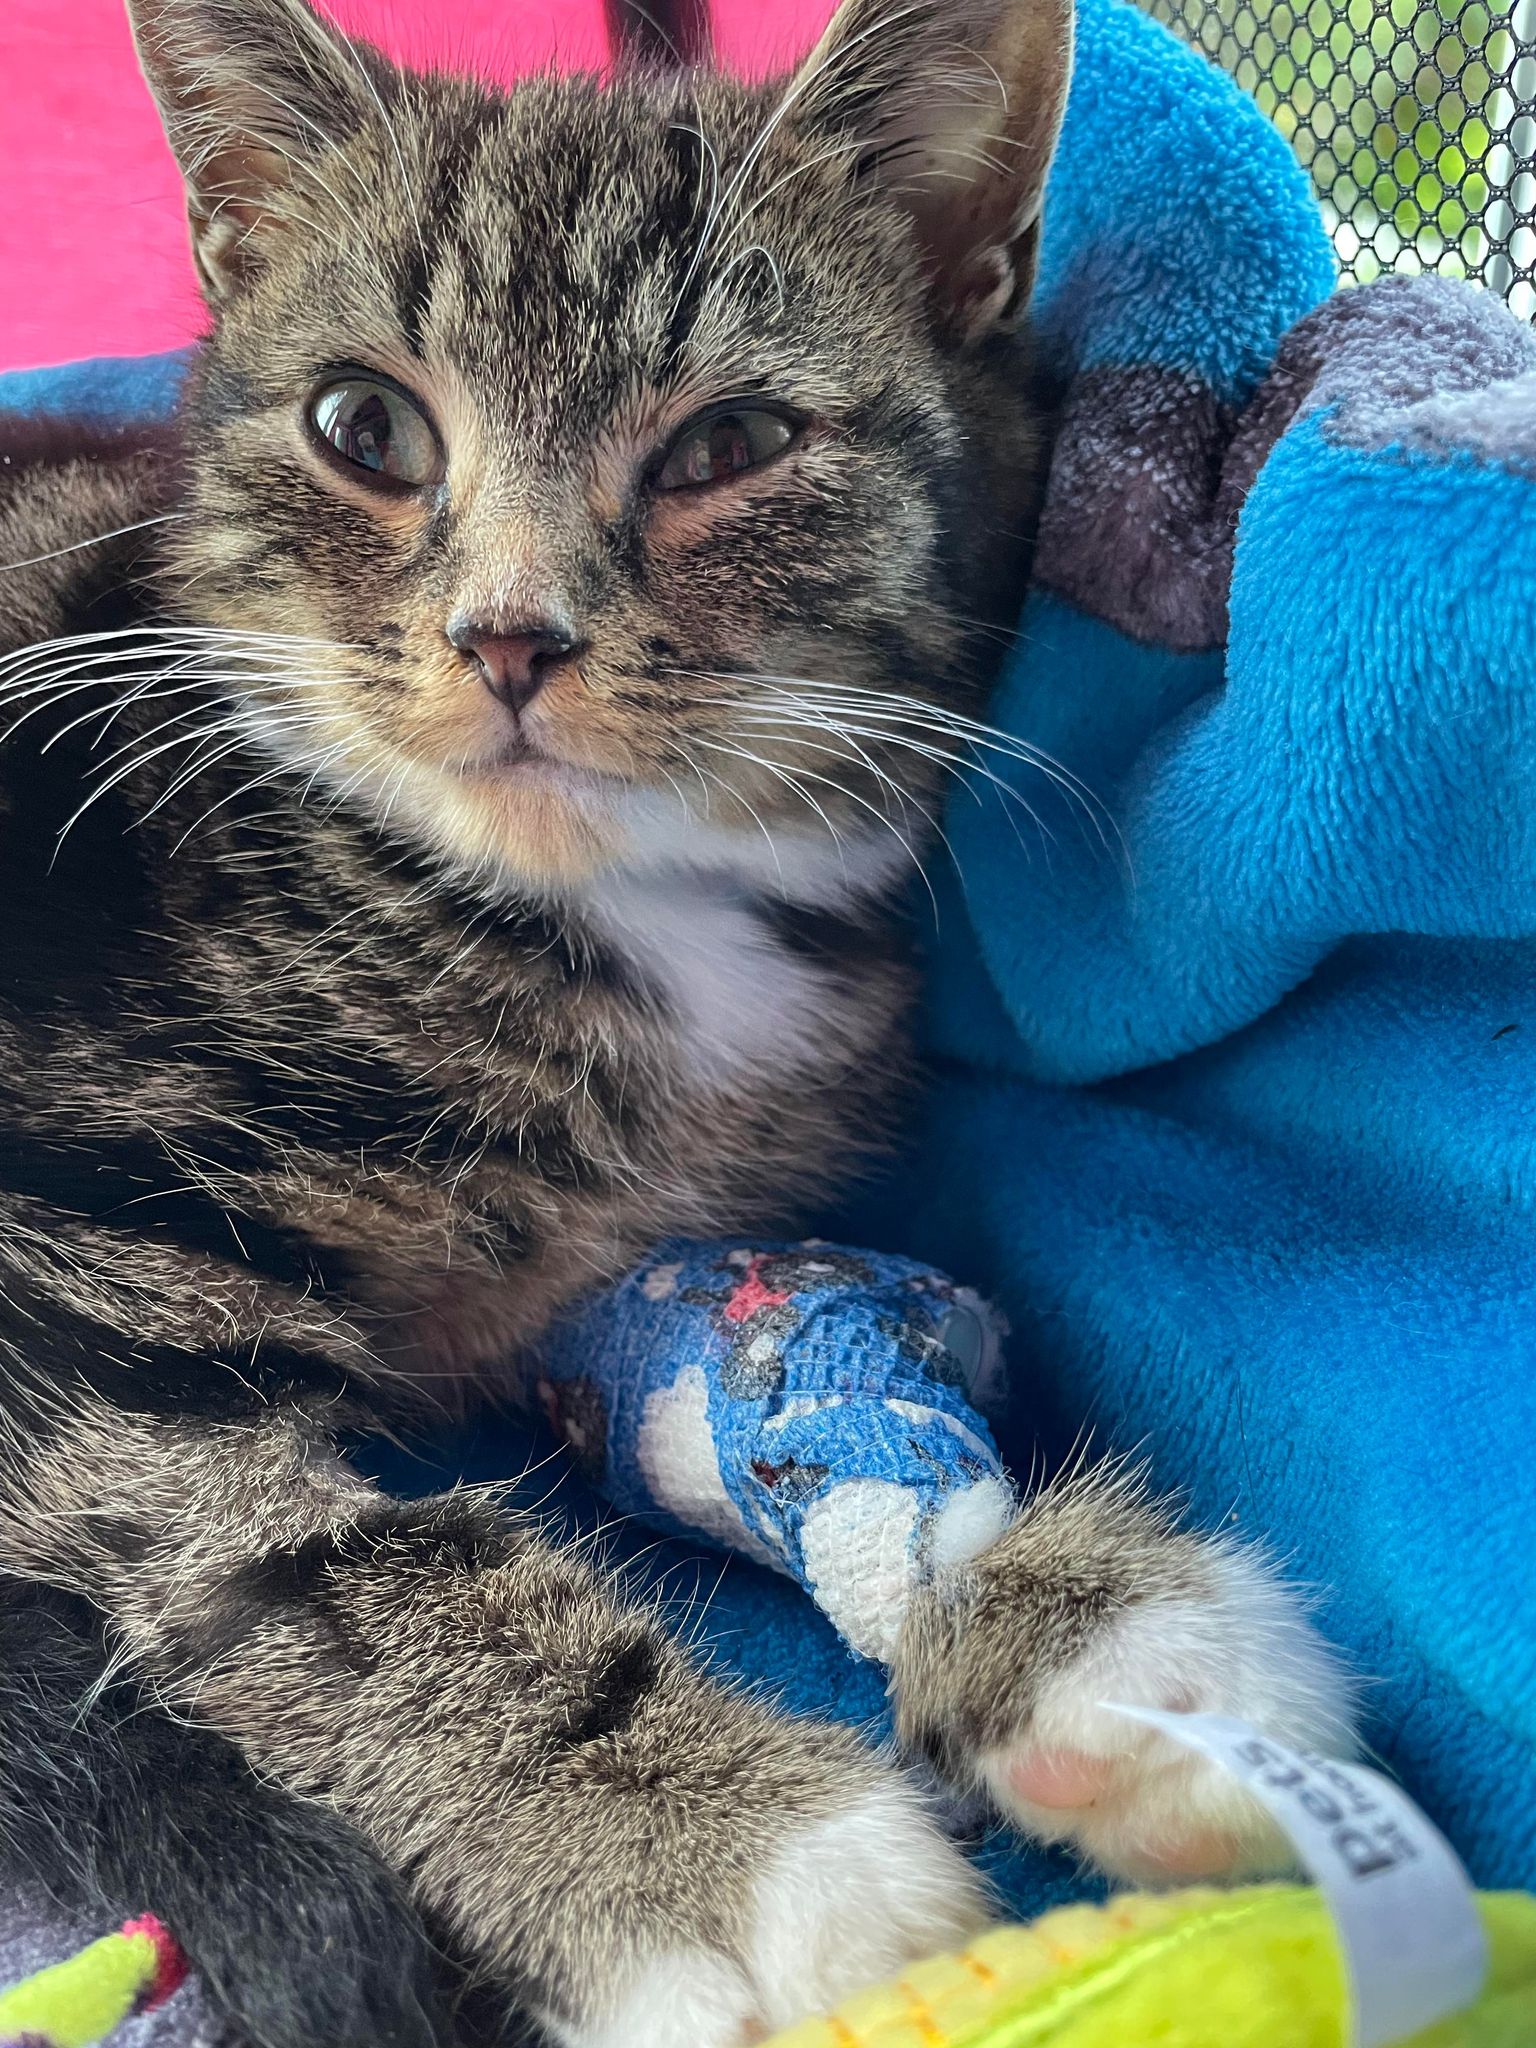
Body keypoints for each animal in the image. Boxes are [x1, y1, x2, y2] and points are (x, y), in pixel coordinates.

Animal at [0, 0, 1357, 2043]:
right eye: (364, 428)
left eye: (730, 441)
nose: (507, 635)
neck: (626, 913)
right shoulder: (59, 1258)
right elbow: (287, 1552)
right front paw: (699, 1842)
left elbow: (788, 1377)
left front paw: (1086, 1622)